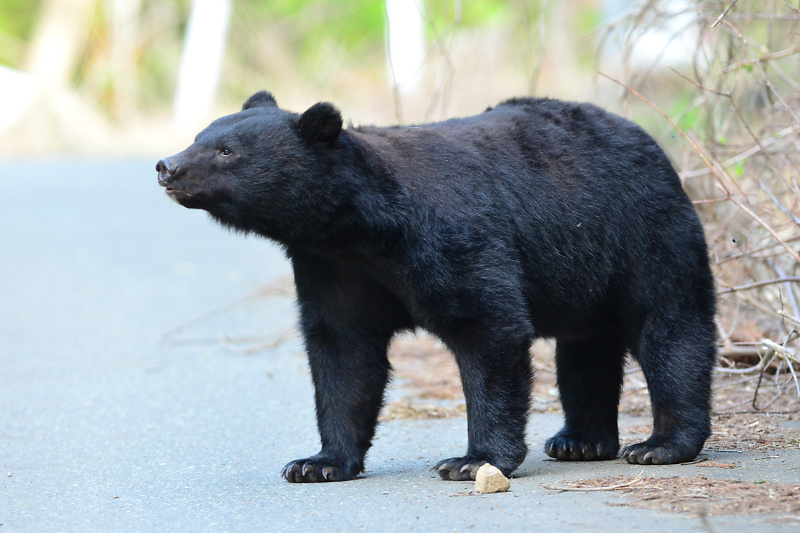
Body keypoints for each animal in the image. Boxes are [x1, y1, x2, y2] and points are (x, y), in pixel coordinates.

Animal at [158, 90, 720, 482]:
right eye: (199, 134)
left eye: (226, 150)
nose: (168, 165)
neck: (359, 230)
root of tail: (649, 140)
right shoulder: (332, 269)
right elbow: (342, 352)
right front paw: (318, 462)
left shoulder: (451, 238)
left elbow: (488, 329)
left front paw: (473, 460)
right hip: (587, 270)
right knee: (586, 348)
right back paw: (579, 440)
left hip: (643, 232)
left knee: (670, 329)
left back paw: (660, 444)